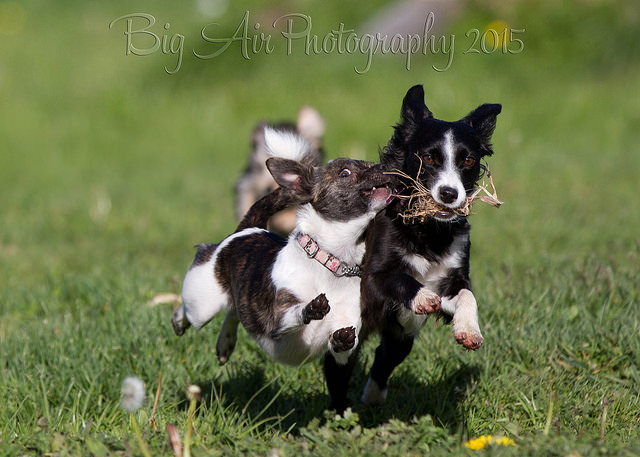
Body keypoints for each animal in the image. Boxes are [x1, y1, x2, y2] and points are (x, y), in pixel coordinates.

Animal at [171, 130, 390, 404]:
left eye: (370, 163)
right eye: (345, 173)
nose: (384, 166)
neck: (332, 262)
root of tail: (247, 228)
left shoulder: (343, 346)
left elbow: (343, 343)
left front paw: (342, 337)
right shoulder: (277, 320)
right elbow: (295, 312)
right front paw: (311, 308)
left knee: (234, 310)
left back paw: (225, 343)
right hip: (203, 303)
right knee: (189, 308)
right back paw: (179, 321)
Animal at [324, 83, 500, 408]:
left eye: (468, 160)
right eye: (428, 158)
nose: (448, 193)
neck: (428, 232)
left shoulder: (454, 275)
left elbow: (467, 295)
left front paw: (469, 330)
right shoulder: (371, 279)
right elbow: (399, 278)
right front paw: (422, 297)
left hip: (401, 337)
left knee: (385, 356)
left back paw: (373, 396)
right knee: (338, 368)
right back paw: (339, 411)